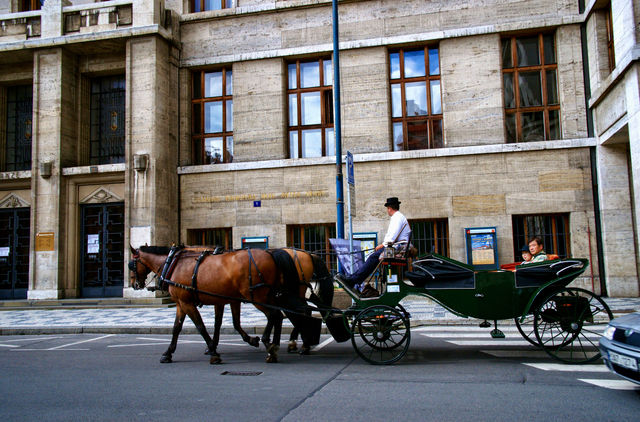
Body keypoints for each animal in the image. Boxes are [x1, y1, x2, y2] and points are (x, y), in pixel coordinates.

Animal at [128, 246, 324, 364]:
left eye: (130, 264)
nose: (134, 285)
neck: (175, 263)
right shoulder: (189, 302)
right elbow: (179, 328)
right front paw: (168, 353)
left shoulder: (189, 302)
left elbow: (201, 326)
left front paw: (214, 352)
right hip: (271, 295)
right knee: (285, 316)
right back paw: (281, 346)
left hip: (259, 296)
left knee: (278, 315)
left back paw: (277, 345)